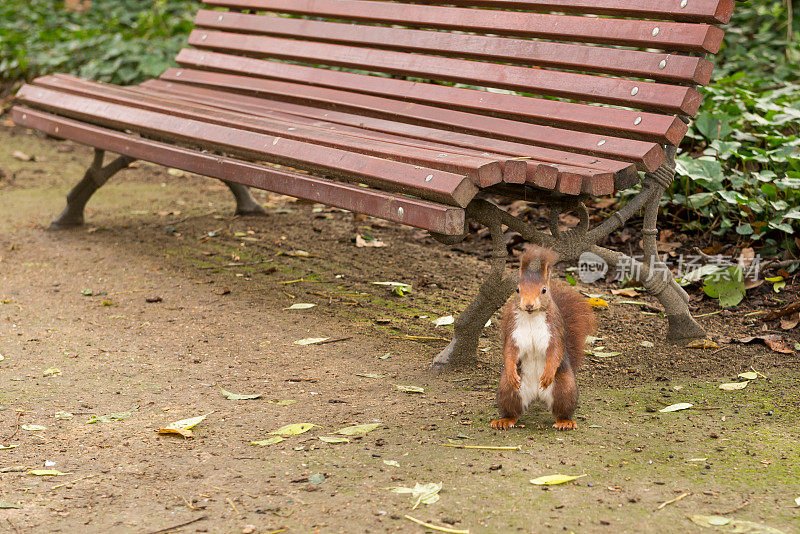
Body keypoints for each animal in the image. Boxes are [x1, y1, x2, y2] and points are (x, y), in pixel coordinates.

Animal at [490, 247, 596, 432]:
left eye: (544, 290)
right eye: (517, 289)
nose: (529, 305)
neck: (531, 316)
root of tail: (536, 396)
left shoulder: (554, 331)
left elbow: (555, 351)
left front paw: (547, 375)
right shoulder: (513, 331)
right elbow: (509, 351)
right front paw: (511, 371)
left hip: (564, 388)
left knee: (562, 409)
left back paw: (565, 422)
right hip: (507, 390)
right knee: (512, 410)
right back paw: (504, 420)